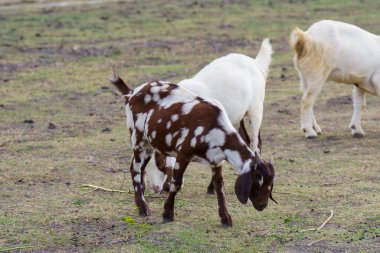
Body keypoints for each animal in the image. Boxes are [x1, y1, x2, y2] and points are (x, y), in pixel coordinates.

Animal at [110, 70, 276, 226]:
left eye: (270, 184)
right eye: (257, 180)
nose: (262, 205)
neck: (215, 127)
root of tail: (133, 92)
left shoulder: (216, 161)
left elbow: (219, 188)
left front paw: (225, 219)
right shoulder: (183, 154)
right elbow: (176, 183)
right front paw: (167, 214)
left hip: (149, 145)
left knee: (139, 169)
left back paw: (140, 202)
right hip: (139, 140)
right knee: (135, 169)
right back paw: (143, 209)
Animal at [146, 38, 274, 192]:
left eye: (160, 162)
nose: (156, 188)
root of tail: (255, 63)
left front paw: (212, 187)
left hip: (256, 110)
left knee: (256, 142)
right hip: (237, 118)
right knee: (246, 139)